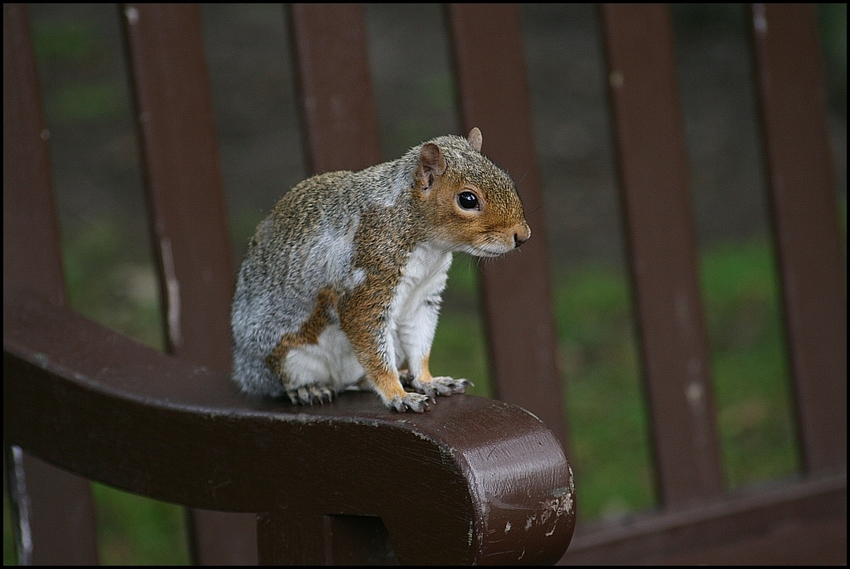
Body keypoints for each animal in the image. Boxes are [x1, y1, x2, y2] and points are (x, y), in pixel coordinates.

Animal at [229, 127, 528, 412]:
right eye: (467, 199)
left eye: (507, 179)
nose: (523, 235)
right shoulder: (368, 279)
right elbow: (370, 341)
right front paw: (398, 395)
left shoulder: (423, 297)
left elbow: (420, 342)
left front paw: (427, 380)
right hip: (285, 357)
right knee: (291, 380)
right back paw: (308, 389)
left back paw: (402, 376)